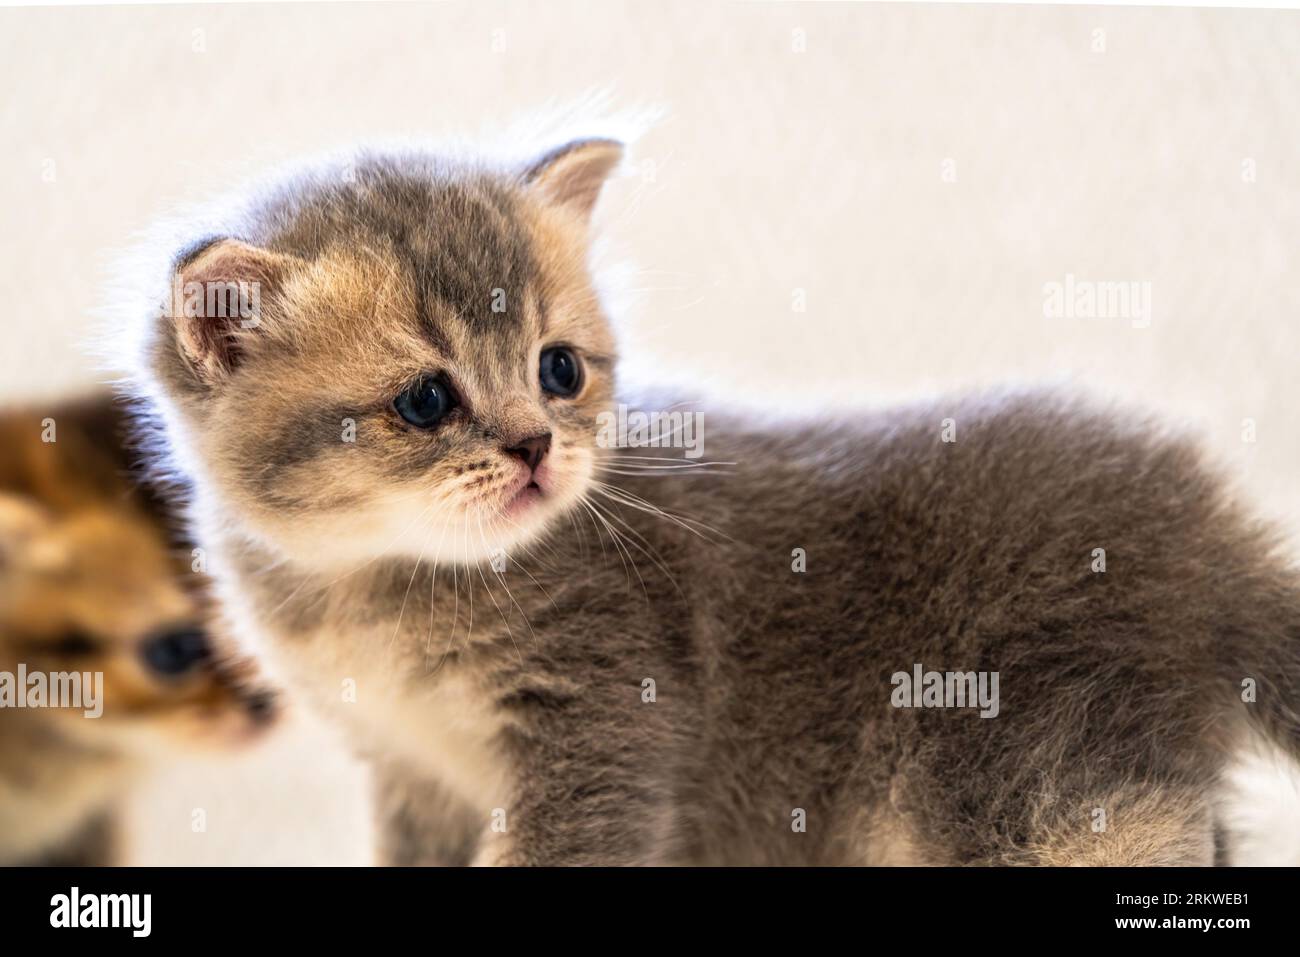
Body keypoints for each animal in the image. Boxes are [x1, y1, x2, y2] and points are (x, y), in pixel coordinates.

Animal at [126, 140, 1300, 868]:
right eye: (425, 400)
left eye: (558, 370)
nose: (536, 446)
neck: (372, 587)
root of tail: (1208, 532)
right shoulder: (414, 772)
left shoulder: (603, 724)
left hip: (1023, 763)